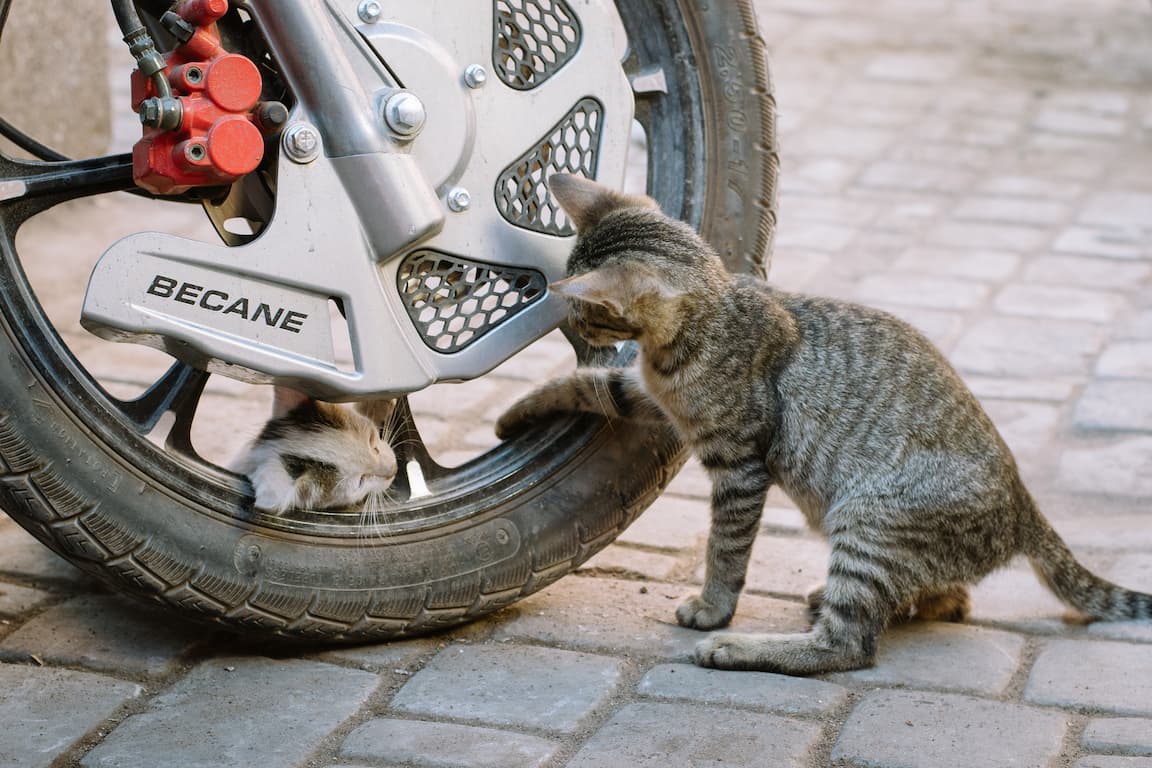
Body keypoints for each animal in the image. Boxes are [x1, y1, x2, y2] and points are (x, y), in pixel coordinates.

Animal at [497, 172, 1152, 672]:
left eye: (589, 311)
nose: (571, 325)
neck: (711, 312)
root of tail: (1023, 505)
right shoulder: (650, 395)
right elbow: (589, 384)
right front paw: (513, 415)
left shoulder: (739, 465)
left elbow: (725, 549)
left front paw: (712, 608)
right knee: (950, 600)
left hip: (867, 524)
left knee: (849, 645)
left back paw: (739, 648)